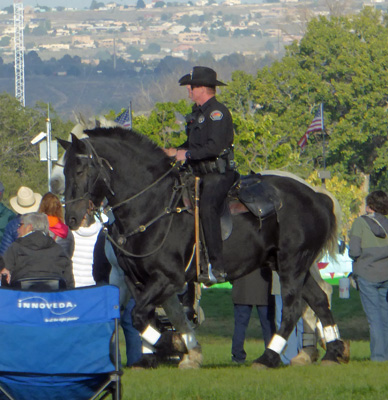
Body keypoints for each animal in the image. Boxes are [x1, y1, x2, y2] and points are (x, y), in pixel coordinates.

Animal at [59, 127, 348, 368]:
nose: (71, 218)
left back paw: (270, 356)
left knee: (293, 306)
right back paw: (332, 351)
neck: (152, 205)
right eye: (64, 171)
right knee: (318, 300)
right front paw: (177, 352)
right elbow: (149, 315)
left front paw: (174, 346)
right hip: (293, 265)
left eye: (81, 170)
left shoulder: (168, 278)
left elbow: (142, 315)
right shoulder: (134, 279)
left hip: (292, 264)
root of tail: (317, 196)